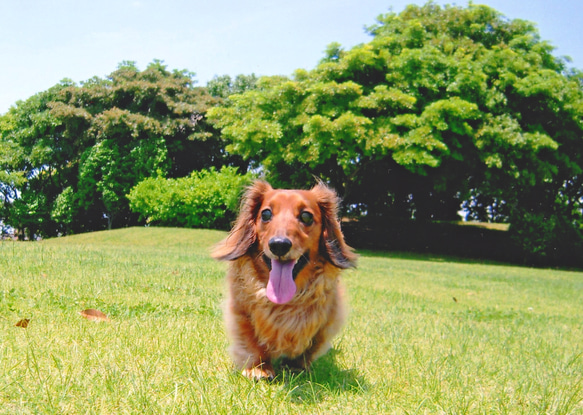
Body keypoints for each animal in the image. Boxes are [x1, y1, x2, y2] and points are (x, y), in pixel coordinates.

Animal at [213, 180, 356, 382]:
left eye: (306, 216)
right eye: (265, 214)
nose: (279, 245)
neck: (283, 303)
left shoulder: (327, 319)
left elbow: (310, 345)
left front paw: (296, 367)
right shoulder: (240, 312)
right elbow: (251, 340)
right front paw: (258, 368)